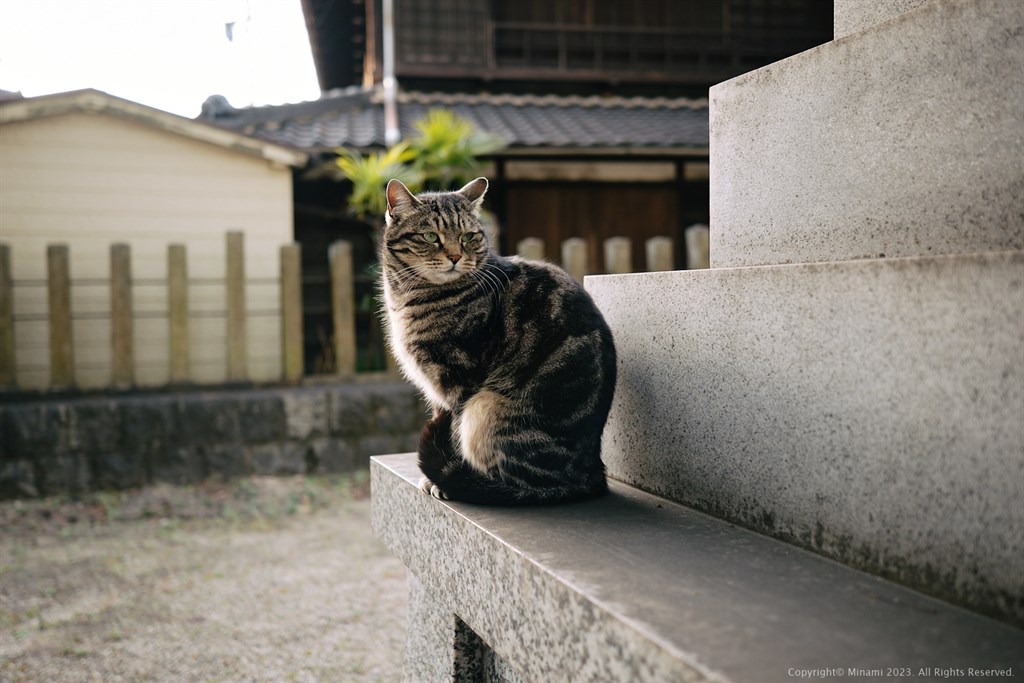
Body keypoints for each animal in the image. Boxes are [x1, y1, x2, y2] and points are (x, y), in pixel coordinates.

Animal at [378, 179, 610, 505]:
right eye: (430, 236)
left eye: (468, 236)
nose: (455, 256)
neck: (410, 299)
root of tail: (594, 473)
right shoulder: (438, 392)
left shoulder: (459, 381)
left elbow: (453, 435)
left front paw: (442, 480)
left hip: (484, 411)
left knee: (524, 485)